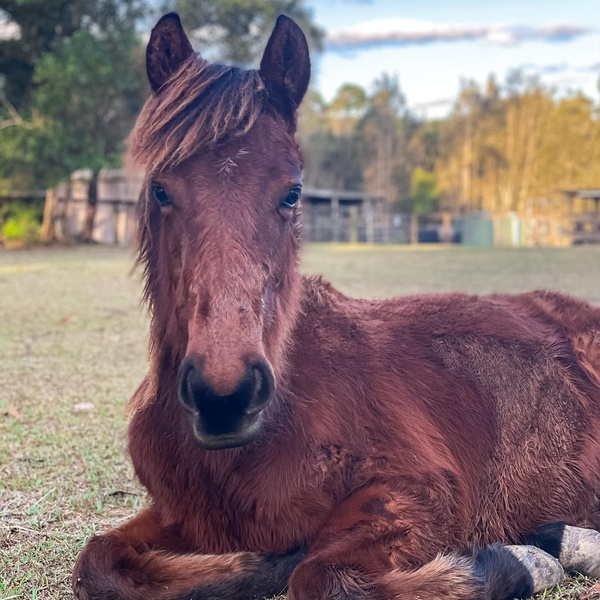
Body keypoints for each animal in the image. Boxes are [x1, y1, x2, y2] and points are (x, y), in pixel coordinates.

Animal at [72, 10, 600, 600]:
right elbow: (100, 561)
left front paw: (518, 560)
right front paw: (258, 565)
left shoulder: (420, 493)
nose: (224, 396)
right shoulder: (179, 515)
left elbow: (320, 575)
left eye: (292, 192)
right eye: (160, 190)